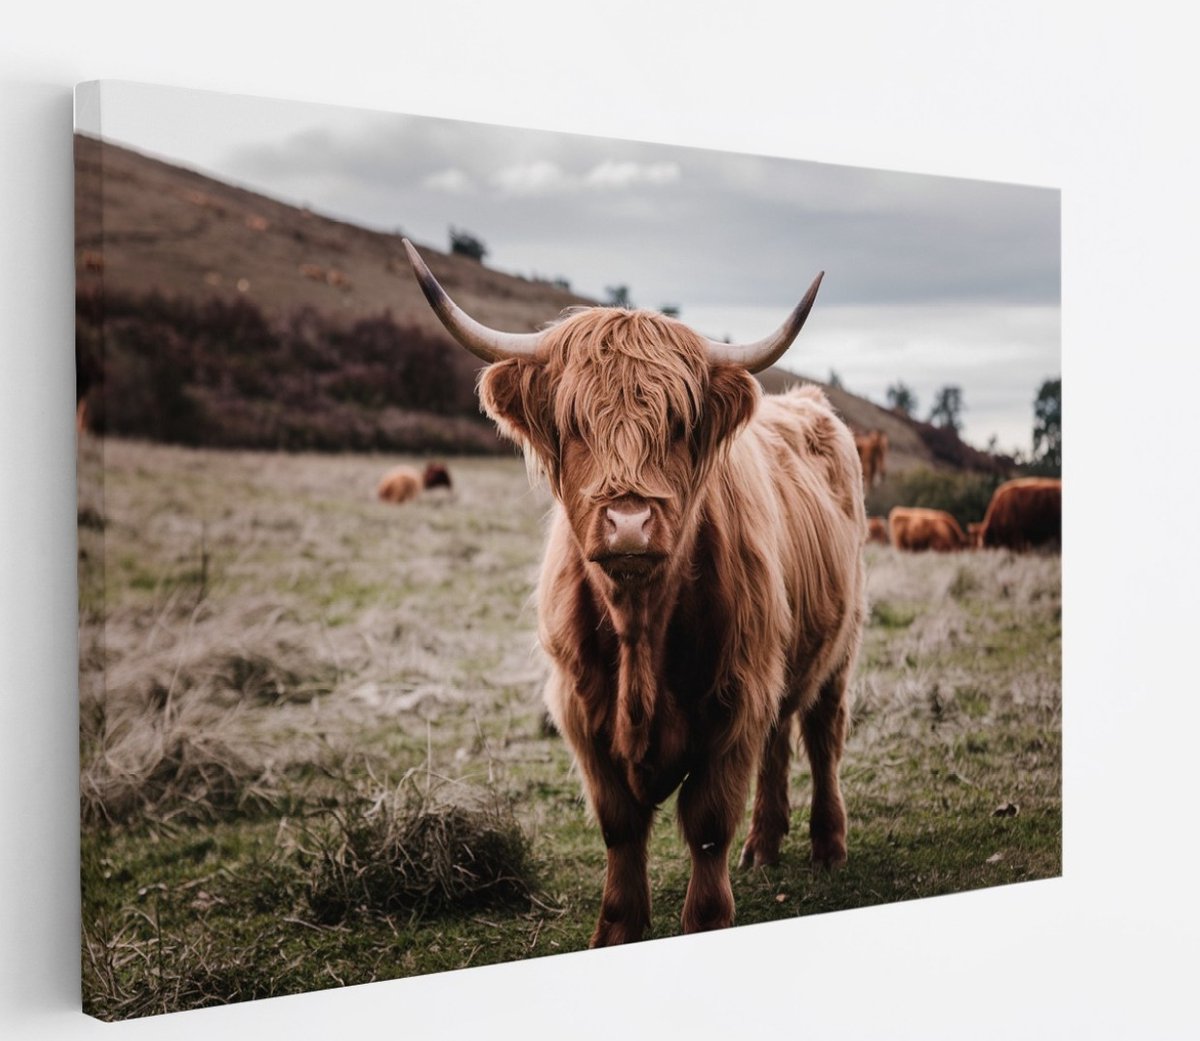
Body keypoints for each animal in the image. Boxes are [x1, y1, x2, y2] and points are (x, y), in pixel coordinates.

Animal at [404, 239, 866, 945]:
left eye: (678, 423)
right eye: (574, 424)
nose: (627, 523)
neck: (641, 628)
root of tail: (808, 405)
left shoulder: (733, 701)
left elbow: (708, 826)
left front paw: (706, 919)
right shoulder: (581, 710)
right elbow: (620, 830)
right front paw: (617, 931)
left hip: (839, 648)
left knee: (822, 735)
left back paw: (828, 846)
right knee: (779, 738)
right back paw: (763, 848)